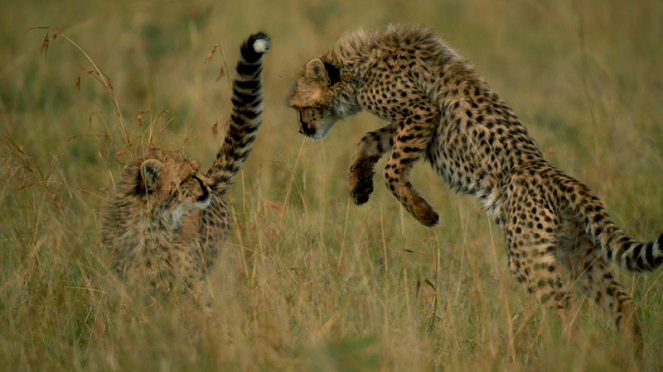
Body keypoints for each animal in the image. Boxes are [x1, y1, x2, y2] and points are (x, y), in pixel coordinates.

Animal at [101, 32, 270, 302]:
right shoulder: (134, 283)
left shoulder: (191, 279)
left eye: (197, 170)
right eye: (190, 176)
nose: (208, 185)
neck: (153, 220)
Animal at [290, 25, 663, 358]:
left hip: (528, 256)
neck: (362, 61)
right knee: (622, 303)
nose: (302, 130)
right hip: (576, 252)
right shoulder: (407, 121)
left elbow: (393, 169)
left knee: (566, 308)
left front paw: (423, 213)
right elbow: (369, 139)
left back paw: (568, 355)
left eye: (298, 106)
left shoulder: (421, 112)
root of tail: (560, 178)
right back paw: (634, 356)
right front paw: (358, 183)